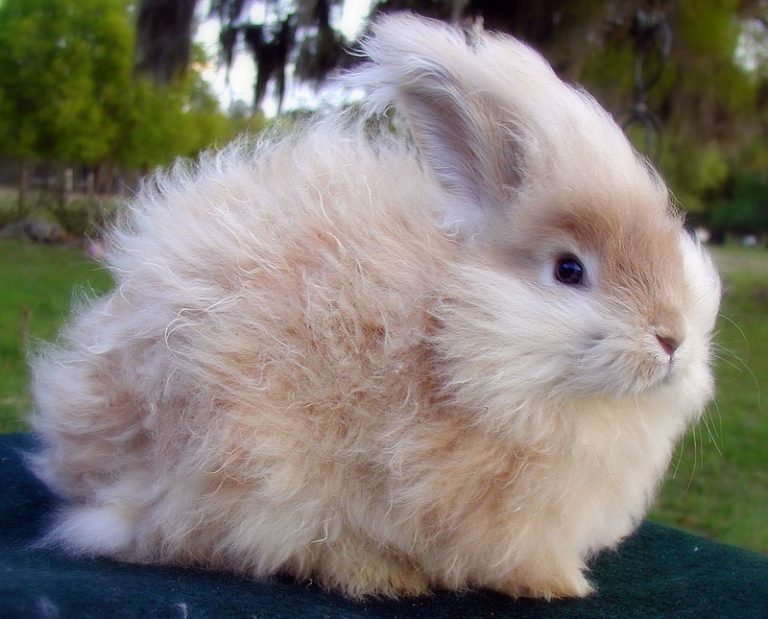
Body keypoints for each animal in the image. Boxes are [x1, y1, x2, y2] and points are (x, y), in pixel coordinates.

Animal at [29, 13, 721, 600]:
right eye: (569, 270)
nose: (672, 339)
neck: (447, 337)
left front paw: (556, 580)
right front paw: (559, 585)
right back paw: (382, 574)